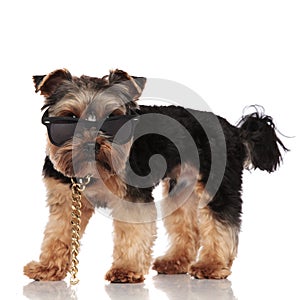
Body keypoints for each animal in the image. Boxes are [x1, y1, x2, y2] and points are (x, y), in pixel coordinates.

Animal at [23, 68, 286, 284]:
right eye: (69, 118)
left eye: (112, 118)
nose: (91, 143)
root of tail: (234, 130)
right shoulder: (67, 199)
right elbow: (57, 234)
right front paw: (48, 268)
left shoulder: (132, 199)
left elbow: (131, 233)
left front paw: (126, 270)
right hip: (181, 187)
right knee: (187, 225)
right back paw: (175, 262)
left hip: (219, 182)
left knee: (222, 223)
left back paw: (212, 265)